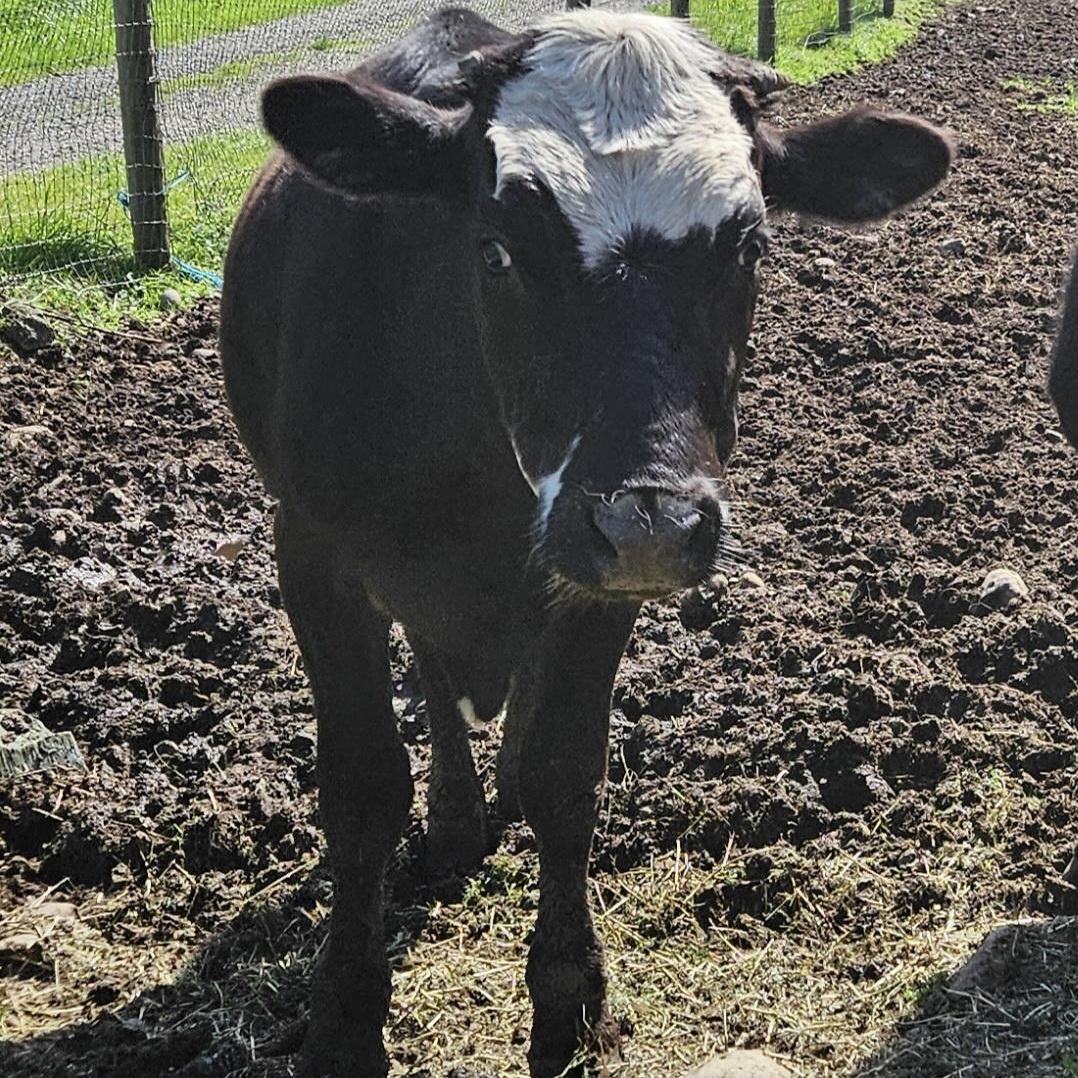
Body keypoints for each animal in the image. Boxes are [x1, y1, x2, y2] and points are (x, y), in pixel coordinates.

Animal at [219, 8, 953, 1076]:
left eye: (751, 249)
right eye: (494, 250)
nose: (648, 518)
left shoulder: (598, 584)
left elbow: (564, 781)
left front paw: (569, 1004)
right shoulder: (313, 552)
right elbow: (361, 790)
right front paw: (344, 1021)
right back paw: (455, 819)